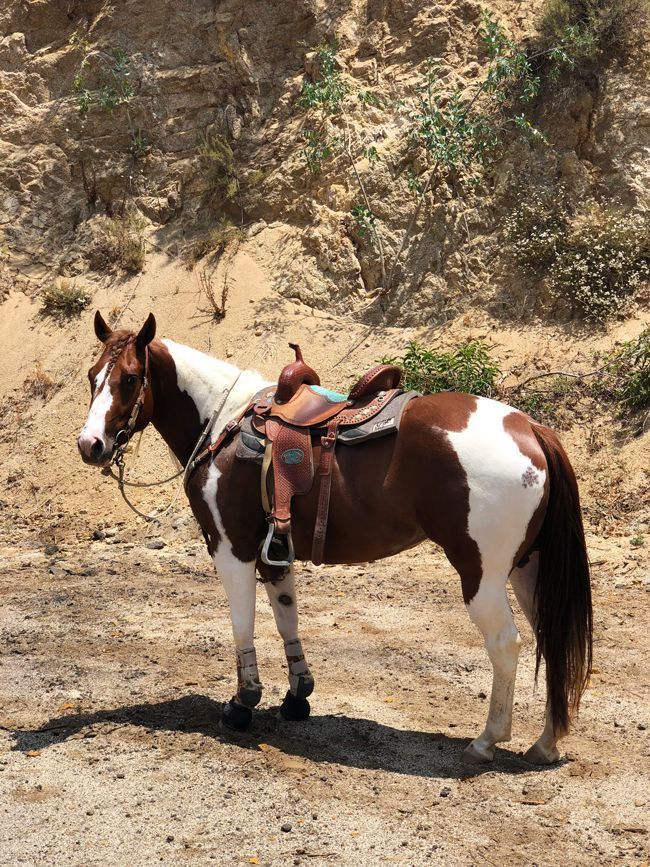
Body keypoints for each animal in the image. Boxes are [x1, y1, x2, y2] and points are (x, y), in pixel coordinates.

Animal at [78, 314, 588, 768]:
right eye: (91, 376)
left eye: (129, 379)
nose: (91, 445)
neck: (222, 420)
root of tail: (531, 429)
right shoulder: (274, 553)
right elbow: (286, 618)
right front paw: (297, 696)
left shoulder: (231, 547)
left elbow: (242, 624)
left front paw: (243, 703)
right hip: (528, 569)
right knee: (550, 639)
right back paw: (546, 743)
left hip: (481, 574)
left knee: (506, 644)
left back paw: (486, 741)